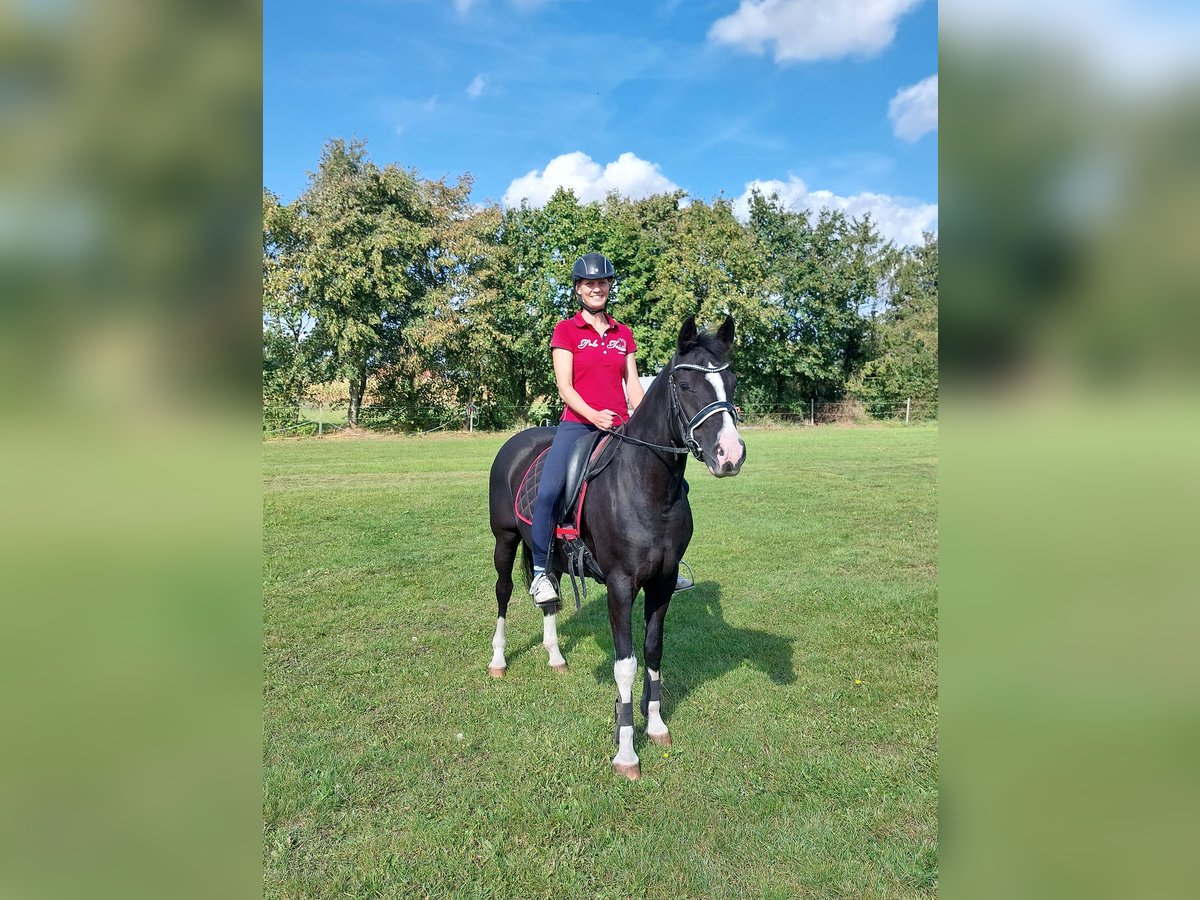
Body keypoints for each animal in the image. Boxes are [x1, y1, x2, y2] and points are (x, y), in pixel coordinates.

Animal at [482, 316, 744, 782]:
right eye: (685, 384)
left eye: (730, 382)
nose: (729, 455)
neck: (647, 487)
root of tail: (516, 442)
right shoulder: (621, 586)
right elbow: (626, 664)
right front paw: (626, 752)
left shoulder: (662, 582)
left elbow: (654, 652)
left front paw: (655, 725)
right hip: (505, 540)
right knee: (503, 593)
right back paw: (498, 661)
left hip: (549, 554)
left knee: (549, 596)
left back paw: (555, 656)